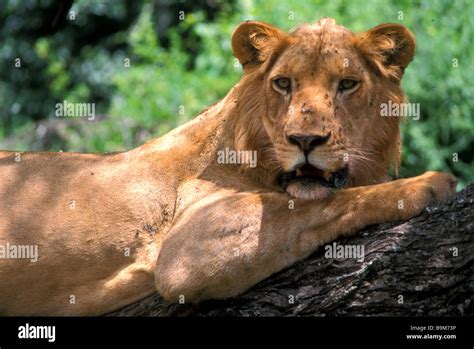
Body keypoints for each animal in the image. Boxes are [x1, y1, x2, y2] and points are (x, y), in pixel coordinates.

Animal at [0, 17, 456, 314]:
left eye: (347, 84)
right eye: (283, 83)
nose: (305, 141)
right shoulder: (185, 252)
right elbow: (327, 202)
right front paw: (430, 183)